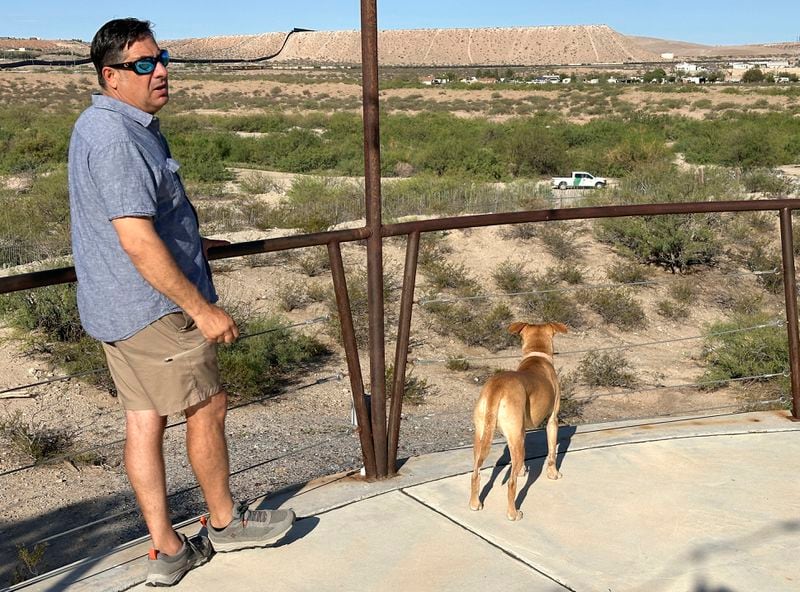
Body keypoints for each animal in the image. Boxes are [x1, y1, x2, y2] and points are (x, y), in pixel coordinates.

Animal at [468, 322, 568, 520]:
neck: (537, 355)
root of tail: (498, 387)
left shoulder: (522, 431)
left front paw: (522, 470)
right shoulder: (552, 421)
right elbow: (552, 452)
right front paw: (553, 474)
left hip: (483, 436)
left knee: (476, 473)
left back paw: (475, 503)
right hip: (514, 437)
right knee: (511, 483)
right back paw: (513, 513)